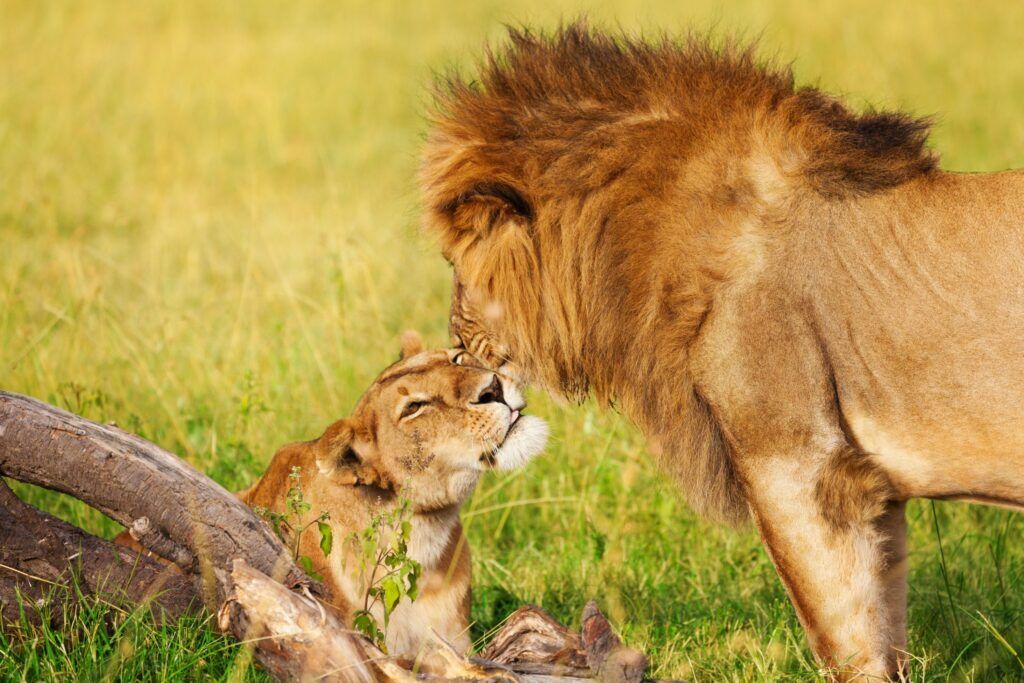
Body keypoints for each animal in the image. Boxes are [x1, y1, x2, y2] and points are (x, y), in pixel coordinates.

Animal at [419, 24, 1024, 679]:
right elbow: (886, 623)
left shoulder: (802, 463)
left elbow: (843, 634)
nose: (455, 345)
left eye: (454, 263)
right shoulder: (871, 488)